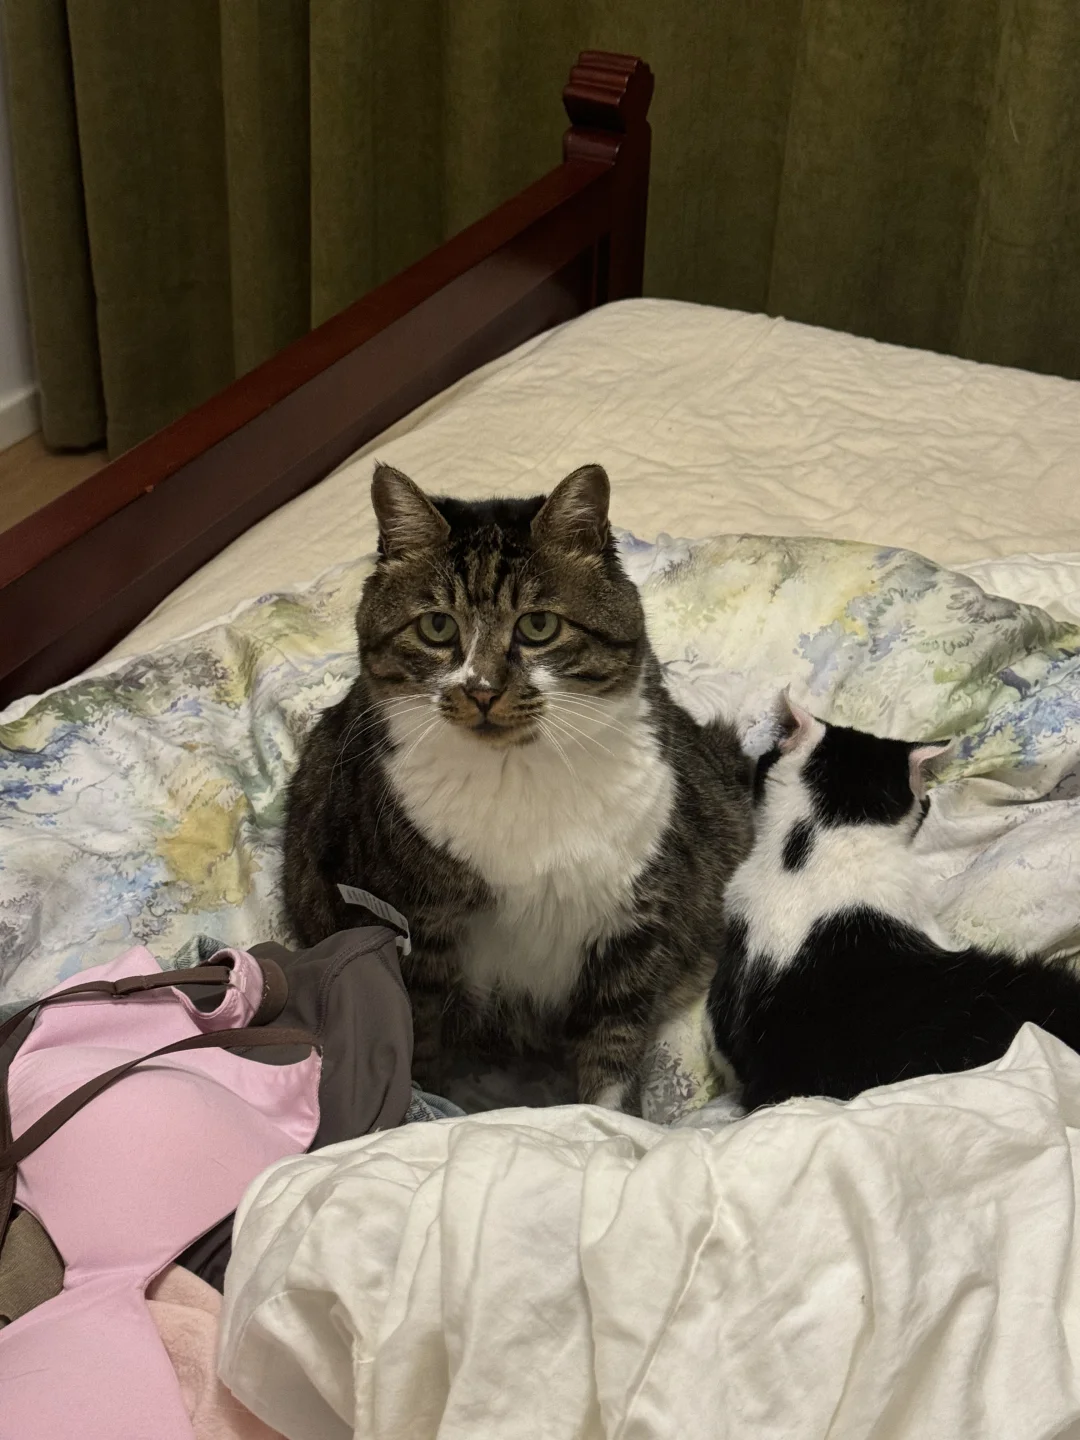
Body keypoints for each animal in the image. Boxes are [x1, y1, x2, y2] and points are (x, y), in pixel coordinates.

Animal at [284, 461, 753, 1110]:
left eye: (538, 625)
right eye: (437, 626)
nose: (481, 690)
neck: (518, 776)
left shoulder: (632, 925)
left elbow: (613, 1049)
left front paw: (606, 1123)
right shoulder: (415, 939)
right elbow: (418, 1045)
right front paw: (432, 1110)